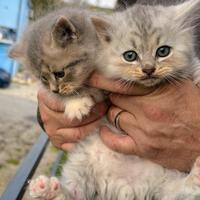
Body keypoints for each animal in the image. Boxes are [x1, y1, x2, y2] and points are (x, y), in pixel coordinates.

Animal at [10, 1, 200, 200]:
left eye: (163, 51)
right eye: (43, 79)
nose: (148, 69)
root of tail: (128, 186)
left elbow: (192, 64)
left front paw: (198, 75)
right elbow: (72, 93)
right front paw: (76, 104)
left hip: (165, 177)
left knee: (180, 191)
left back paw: (196, 175)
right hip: (81, 164)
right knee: (73, 193)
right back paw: (47, 190)